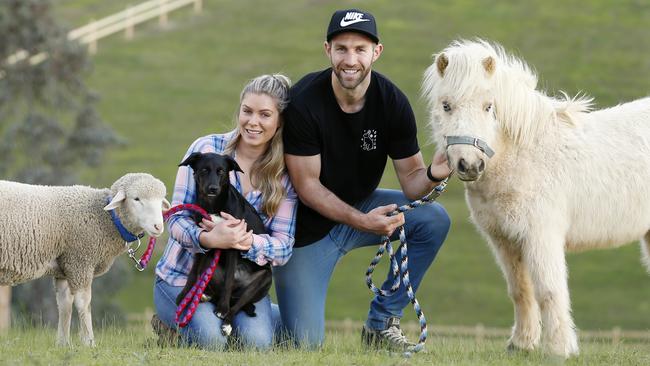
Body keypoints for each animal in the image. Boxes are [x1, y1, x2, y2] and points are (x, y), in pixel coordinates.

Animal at [0, 174, 170, 346]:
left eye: (160, 200)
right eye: (136, 199)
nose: (158, 226)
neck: (107, 218)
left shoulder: (65, 266)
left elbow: (65, 304)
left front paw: (63, 344)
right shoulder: (80, 261)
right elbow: (84, 303)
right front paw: (89, 342)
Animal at [175, 151, 270, 334]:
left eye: (221, 172)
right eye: (204, 170)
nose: (213, 188)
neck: (213, 207)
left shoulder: (233, 243)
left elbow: (228, 280)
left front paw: (222, 309)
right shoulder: (203, 241)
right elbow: (194, 273)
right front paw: (185, 295)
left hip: (262, 281)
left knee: (237, 304)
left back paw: (227, 320)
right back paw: (204, 295)